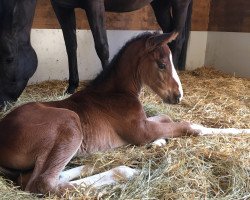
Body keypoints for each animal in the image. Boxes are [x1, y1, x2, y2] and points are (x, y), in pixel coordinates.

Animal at [50, 0, 191, 93]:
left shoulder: (94, 5)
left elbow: (102, 47)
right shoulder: (62, 7)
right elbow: (70, 46)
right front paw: (72, 86)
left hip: (180, 4)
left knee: (178, 39)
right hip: (161, 5)